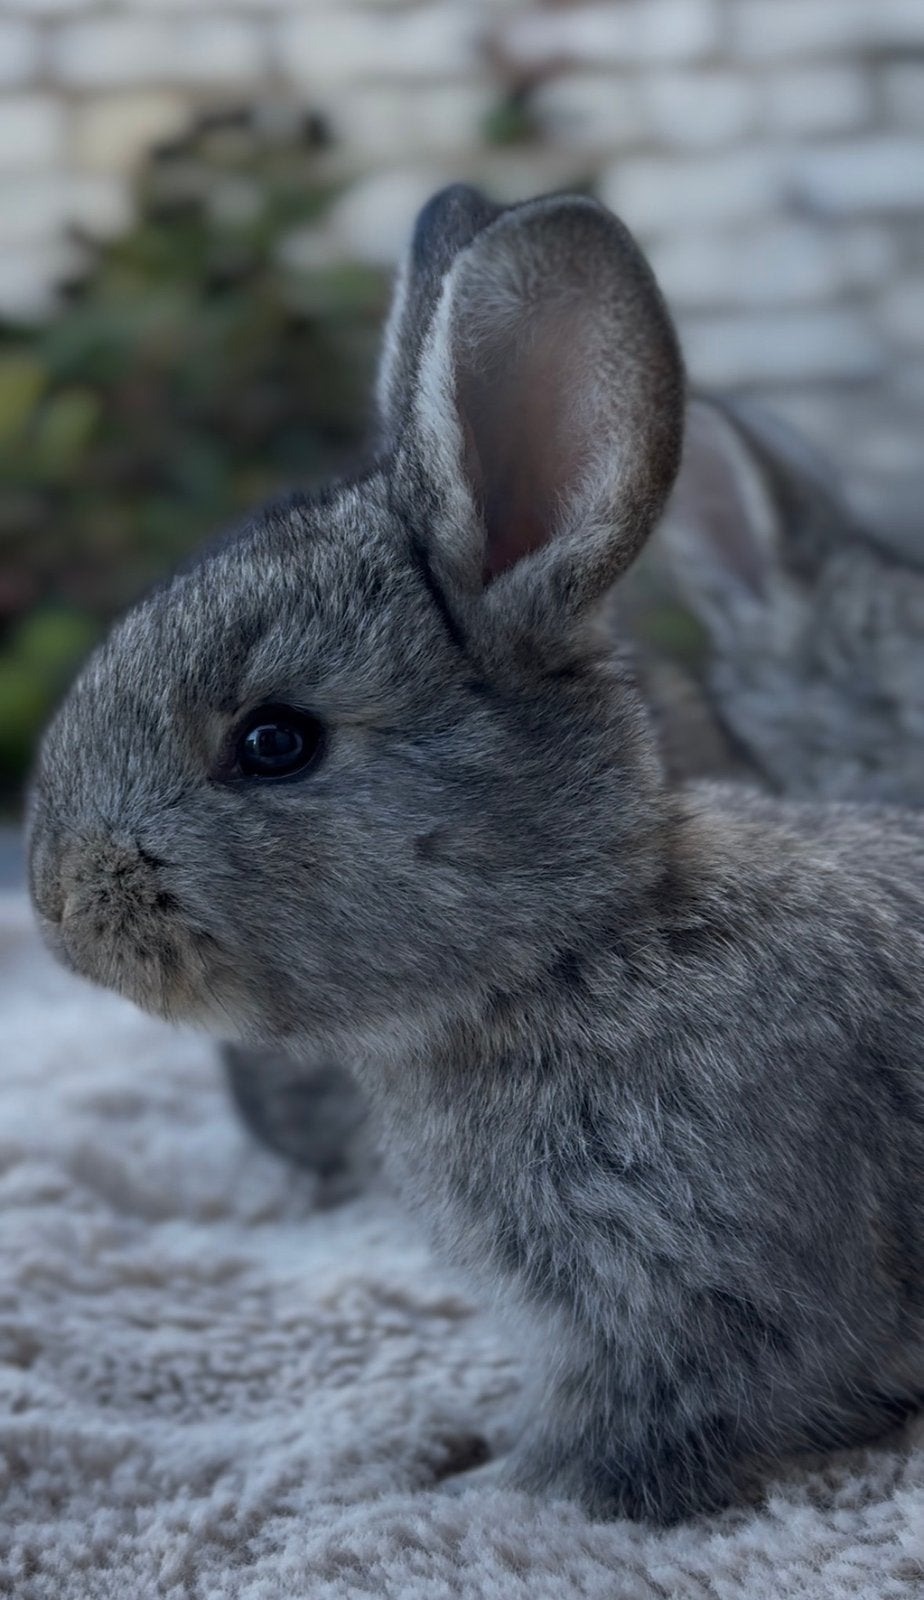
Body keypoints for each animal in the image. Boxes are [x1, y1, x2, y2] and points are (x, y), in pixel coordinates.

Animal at [27, 185, 924, 1525]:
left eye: (275, 741)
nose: (56, 904)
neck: (577, 950)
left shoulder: (688, 1308)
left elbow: (607, 1454)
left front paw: (459, 1492)